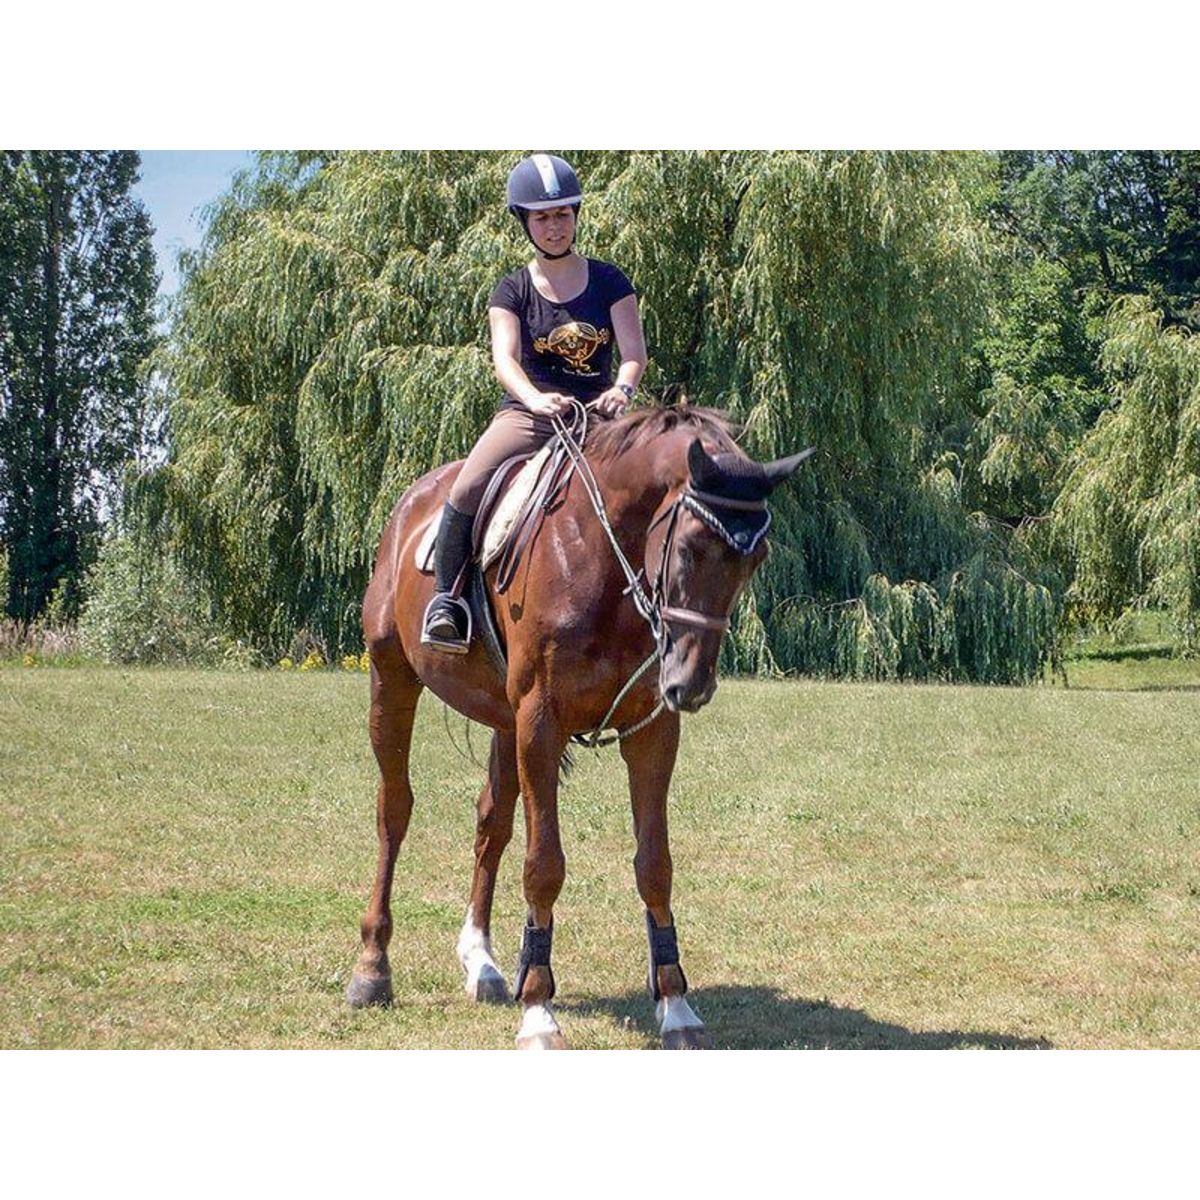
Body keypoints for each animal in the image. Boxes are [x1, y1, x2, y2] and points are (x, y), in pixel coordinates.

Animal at [346, 402, 811, 1048]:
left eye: (754, 559)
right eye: (690, 548)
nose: (690, 683)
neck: (600, 557)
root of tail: (412, 504)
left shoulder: (650, 730)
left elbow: (655, 865)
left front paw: (675, 1003)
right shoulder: (540, 721)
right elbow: (544, 866)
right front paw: (539, 1009)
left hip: (503, 720)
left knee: (491, 822)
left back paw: (483, 962)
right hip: (392, 678)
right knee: (394, 811)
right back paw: (372, 969)